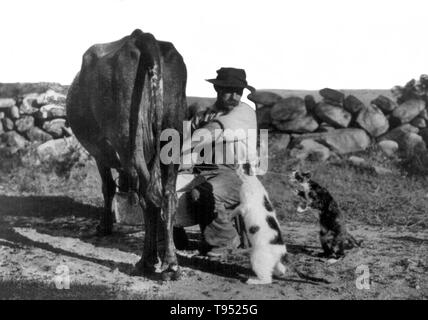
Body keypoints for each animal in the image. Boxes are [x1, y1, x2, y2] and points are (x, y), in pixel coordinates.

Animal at [66, 30, 186, 280]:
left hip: (128, 140)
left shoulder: (100, 152)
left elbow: (108, 187)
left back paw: (147, 261)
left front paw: (104, 226)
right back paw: (170, 263)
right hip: (172, 134)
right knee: (168, 195)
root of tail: (142, 37)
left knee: (149, 197)